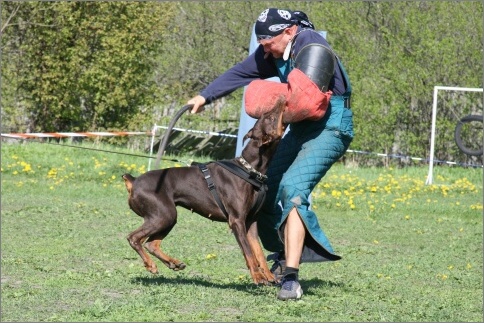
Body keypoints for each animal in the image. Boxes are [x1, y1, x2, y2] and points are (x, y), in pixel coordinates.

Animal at [122, 97, 288, 284]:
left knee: (151, 244)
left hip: (166, 217)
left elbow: (258, 250)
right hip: (163, 214)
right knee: (134, 238)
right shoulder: (237, 221)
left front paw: (268, 275)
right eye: (270, 117)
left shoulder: (251, 222)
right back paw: (151, 264)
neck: (249, 169)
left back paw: (174, 263)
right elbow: (248, 251)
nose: (281, 98)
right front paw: (258, 276)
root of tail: (133, 181)